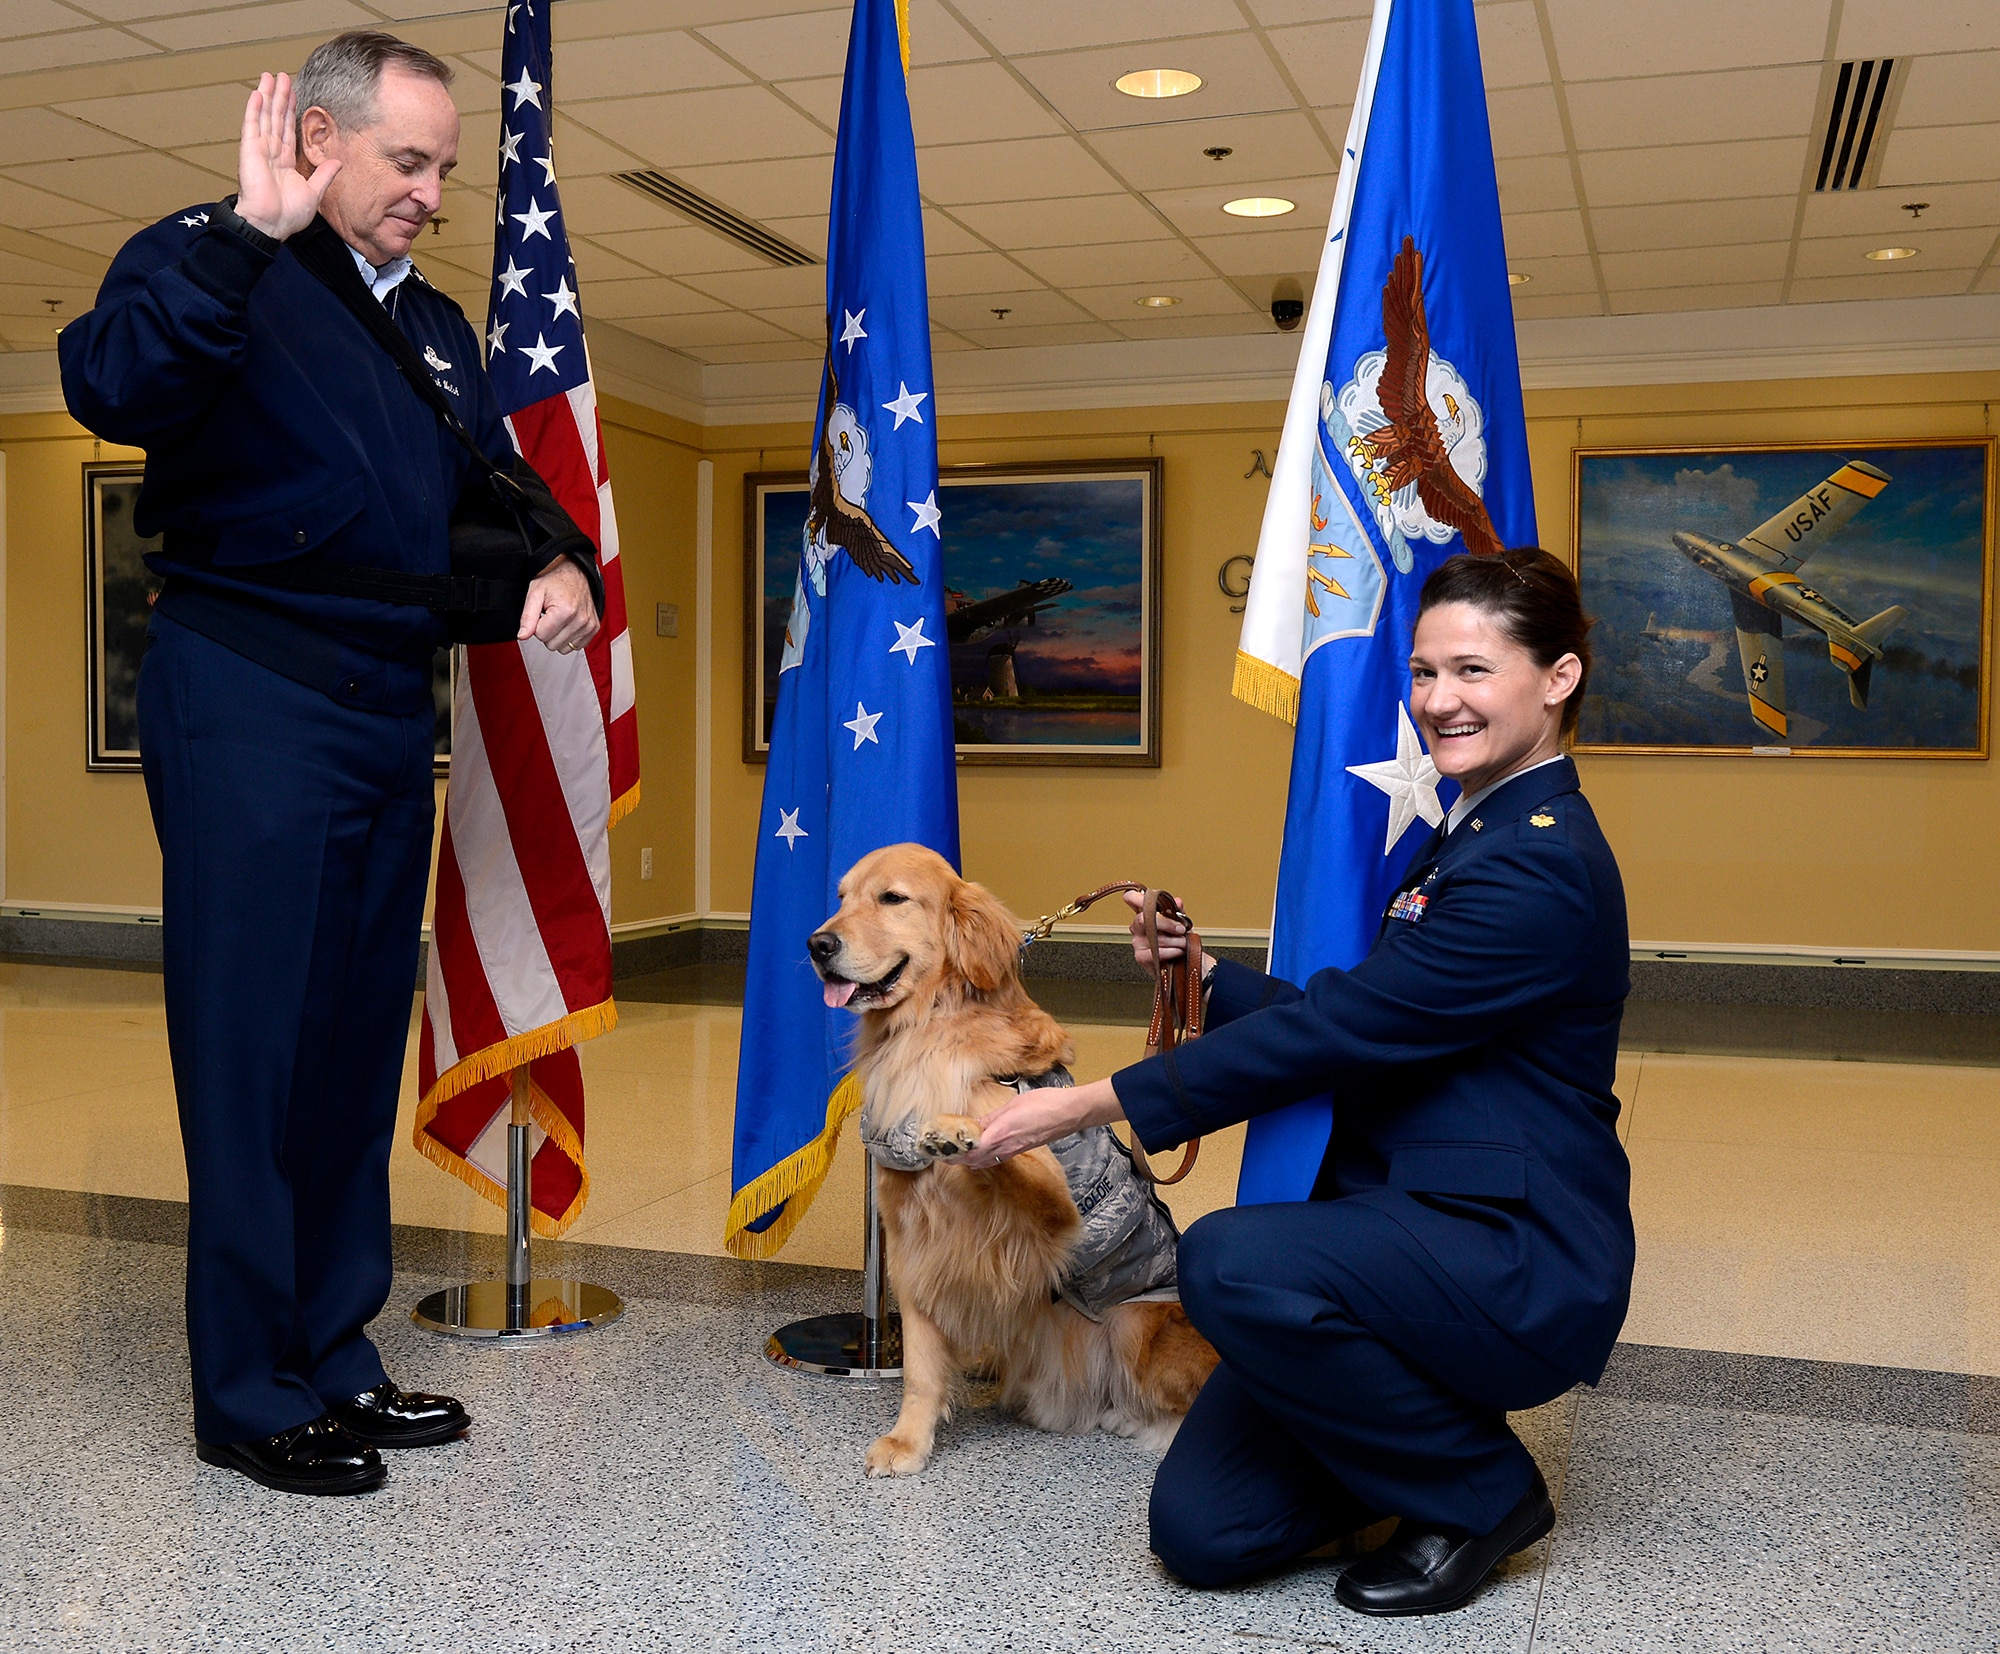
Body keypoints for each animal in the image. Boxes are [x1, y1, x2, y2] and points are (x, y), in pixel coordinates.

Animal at [800, 848, 1208, 1480]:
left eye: (893, 898)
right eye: (841, 897)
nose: (817, 943)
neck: (924, 1031)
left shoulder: (1054, 1215)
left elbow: (1013, 1156)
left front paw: (960, 1131)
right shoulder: (914, 1242)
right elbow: (921, 1367)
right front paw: (908, 1441)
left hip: (1134, 1325)